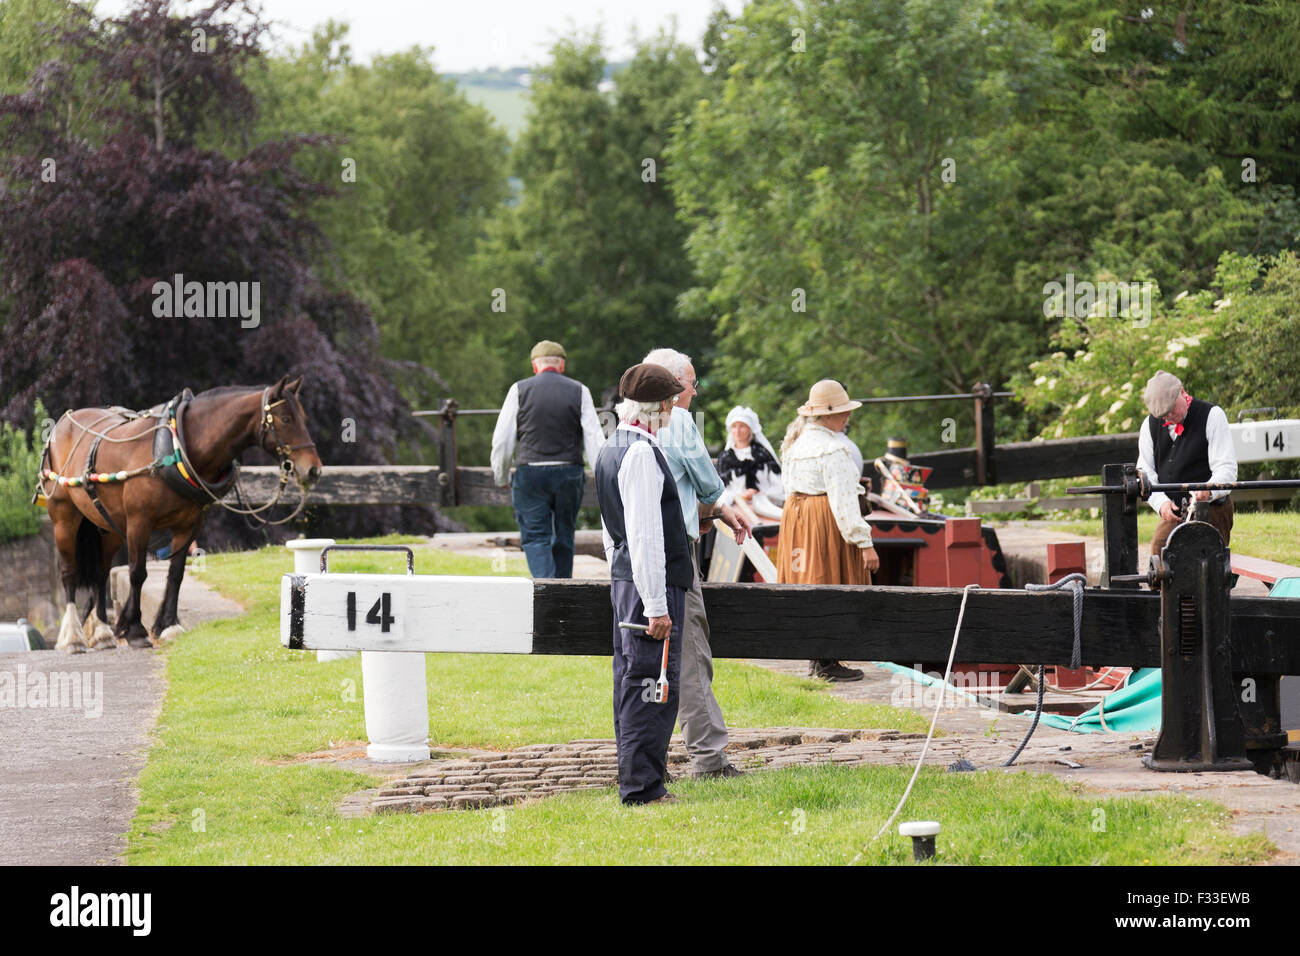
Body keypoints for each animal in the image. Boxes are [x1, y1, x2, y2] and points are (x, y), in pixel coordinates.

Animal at [36, 377, 321, 655]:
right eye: (286, 418)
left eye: (304, 417)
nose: (314, 470)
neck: (178, 448)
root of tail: (61, 425)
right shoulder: (139, 523)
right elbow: (137, 573)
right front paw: (136, 631)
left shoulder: (188, 526)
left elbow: (176, 574)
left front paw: (168, 626)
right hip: (64, 517)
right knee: (69, 572)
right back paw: (73, 638)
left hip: (106, 525)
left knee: (100, 574)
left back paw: (103, 633)